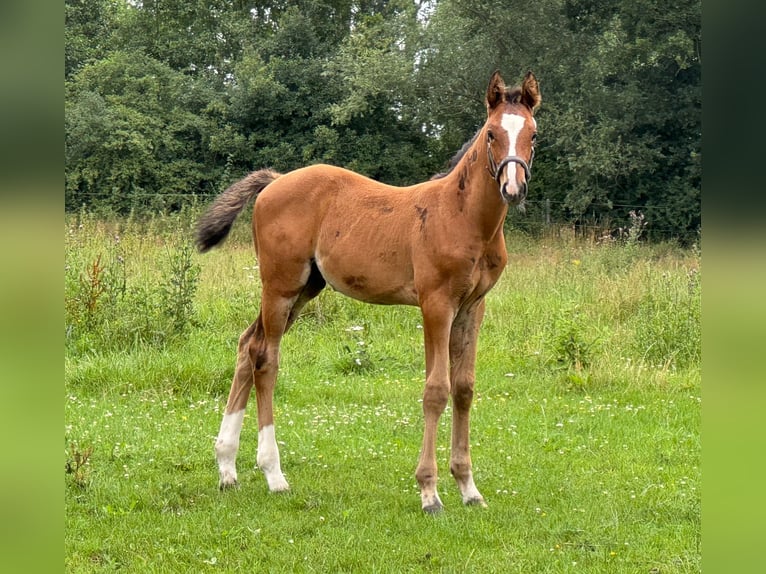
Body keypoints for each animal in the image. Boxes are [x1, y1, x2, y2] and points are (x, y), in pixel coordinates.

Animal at [195, 70, 541, 513]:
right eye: (493, 134)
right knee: (266, 359)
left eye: (533, 134)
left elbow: (464, 388)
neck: (462, 216)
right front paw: (429, 491)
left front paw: (468, 487)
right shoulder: (436, 304)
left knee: (246, 345)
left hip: (305, 288)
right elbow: (436, 390)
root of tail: (274, 182)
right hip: (280, 286)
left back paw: (227, 467)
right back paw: (274, 474)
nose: (513, 188)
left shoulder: (472, 306)